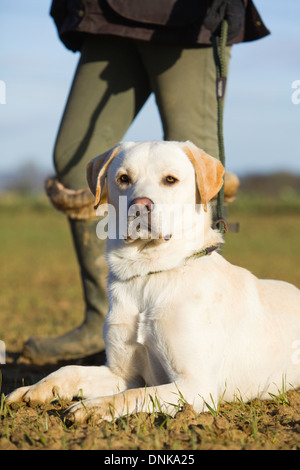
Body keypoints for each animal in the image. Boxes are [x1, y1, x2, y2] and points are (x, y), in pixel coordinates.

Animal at [6, 140, 300, 422]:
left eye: (170, 179)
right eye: (123, 178)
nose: (140, 206)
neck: (148, 273)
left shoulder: (196, 385)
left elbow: (134, 394)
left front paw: (93, 407)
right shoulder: (122, 373)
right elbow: (69, 370)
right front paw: (32, 390)